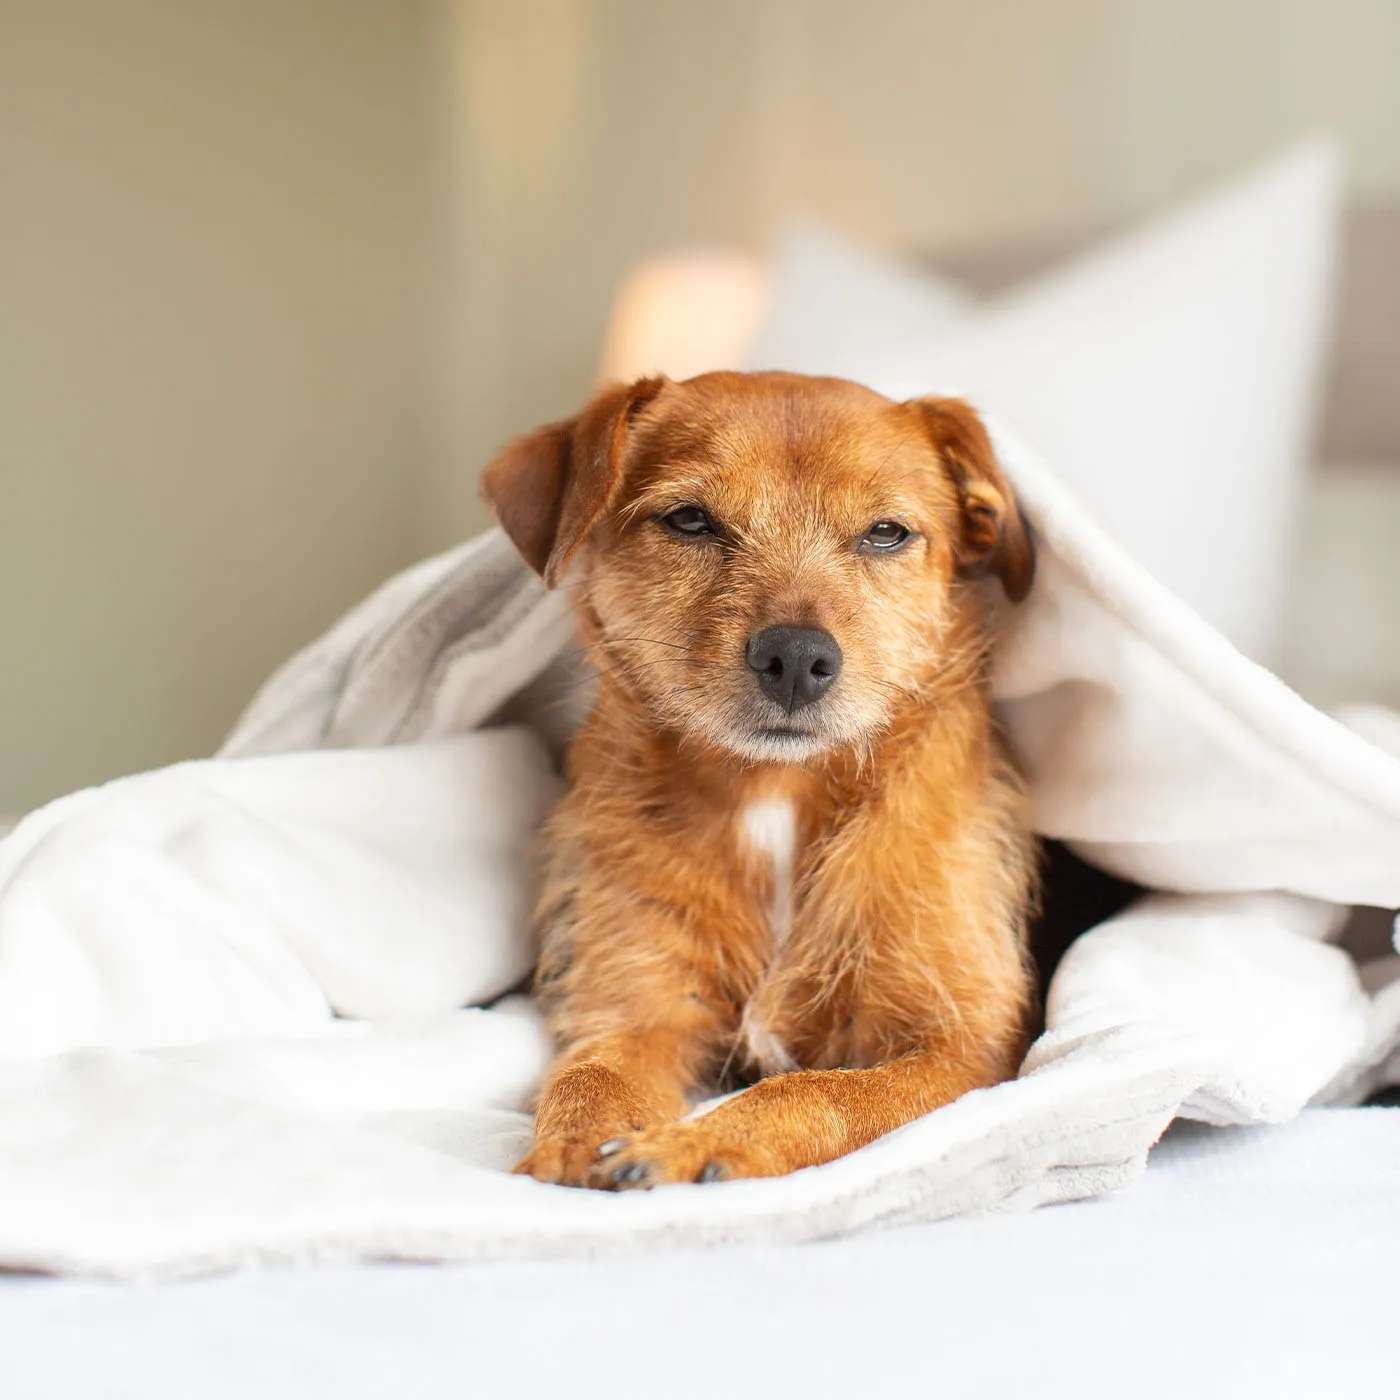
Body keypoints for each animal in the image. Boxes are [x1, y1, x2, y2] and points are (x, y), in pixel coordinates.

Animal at [484, 372, 1041, 1192]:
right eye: (689, 519)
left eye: (886, 533)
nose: (798, 658)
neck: (776, 795)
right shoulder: (633, 1004)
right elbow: (591, 1076)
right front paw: (573, 1144)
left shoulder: (964, 1047)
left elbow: (820, 1091)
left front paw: (701, 1142)